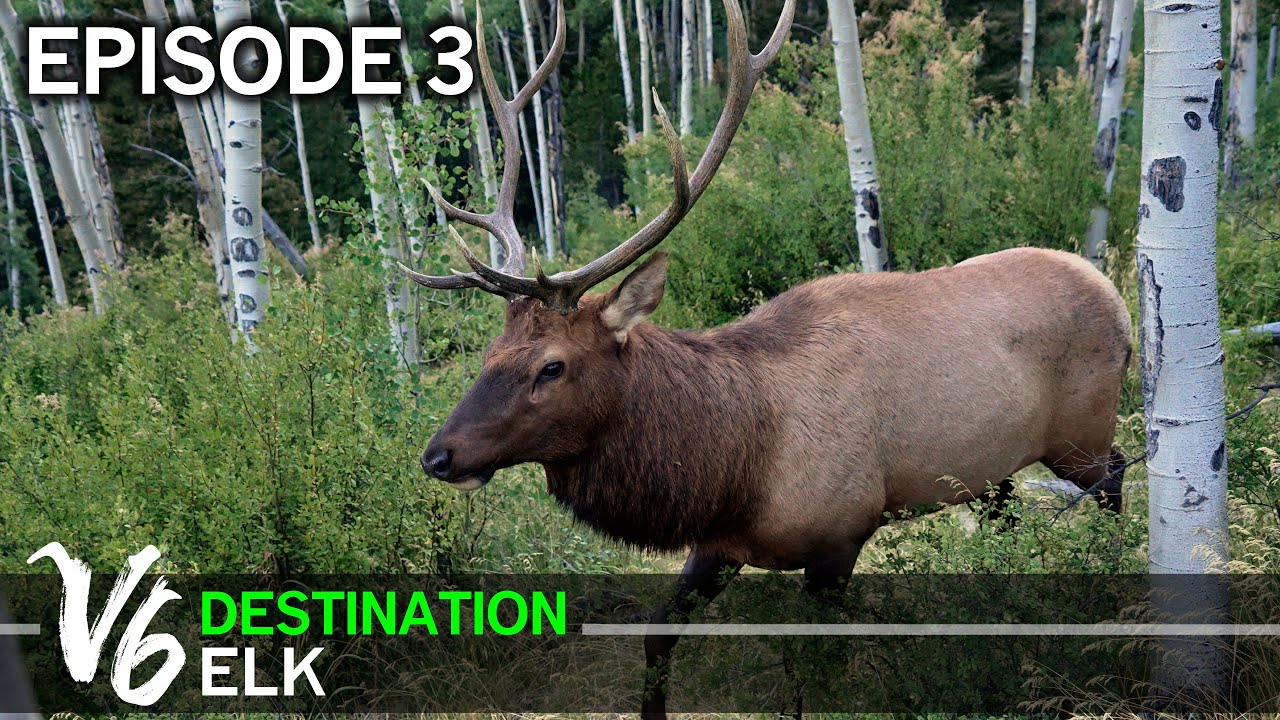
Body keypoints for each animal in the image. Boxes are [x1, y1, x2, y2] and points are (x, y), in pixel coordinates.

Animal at [397, 0, 1132, 716]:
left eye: (551, 366)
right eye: (490, 352)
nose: (438, 456)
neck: (738, 464)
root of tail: (1110, 288)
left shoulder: (841, 535)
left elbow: (809, 675)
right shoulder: (718, 545)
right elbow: (657, 638)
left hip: (1082, 436)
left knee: (1117, 480)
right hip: (991, 472)